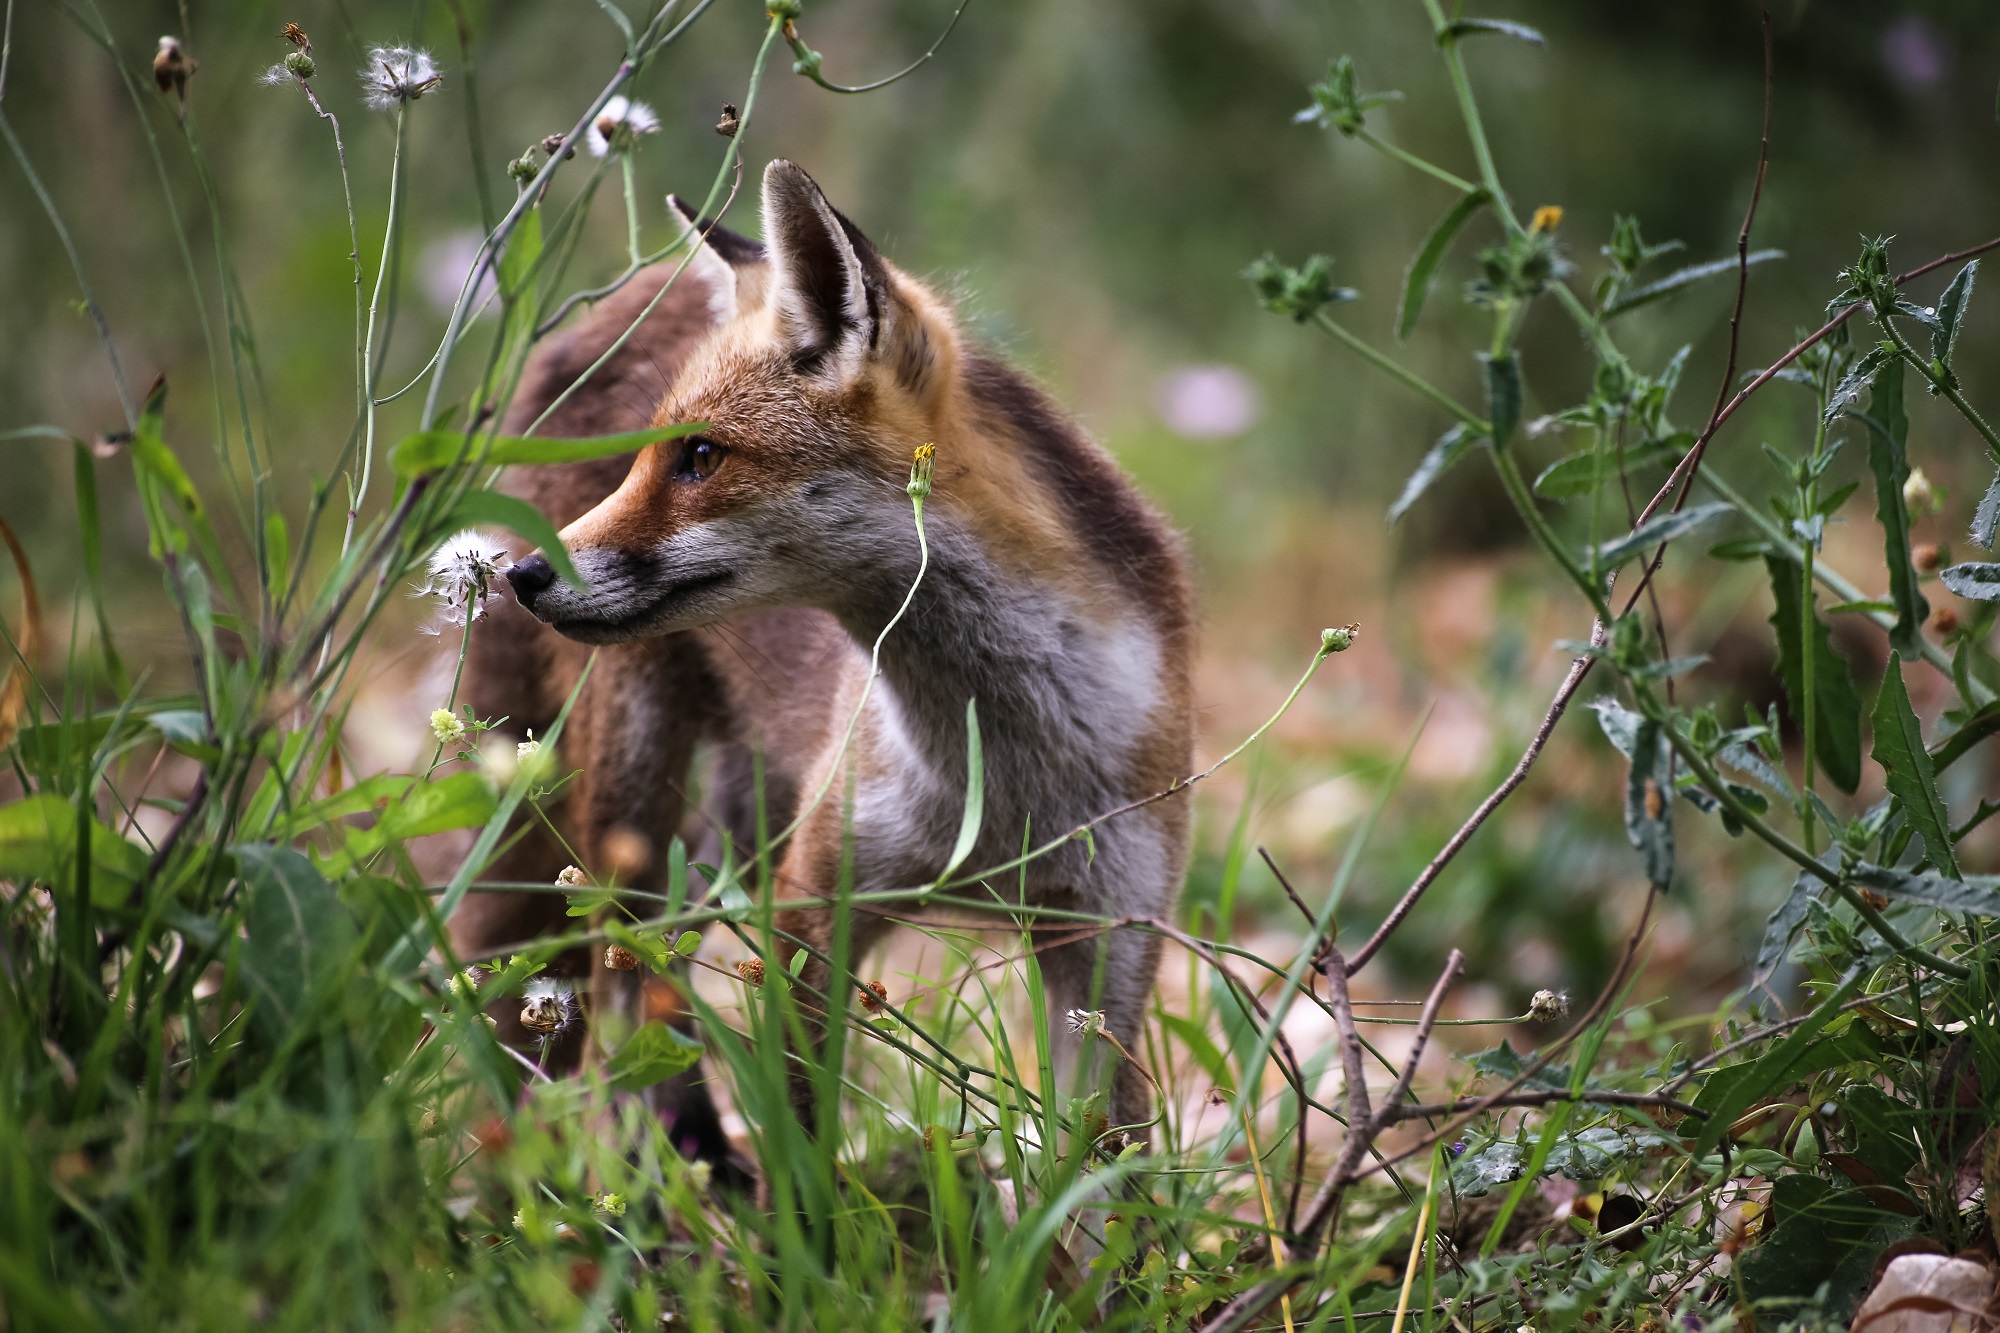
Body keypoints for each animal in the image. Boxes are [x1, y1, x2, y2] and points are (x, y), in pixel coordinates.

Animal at [449, 159, 1193, 1159]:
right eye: (641, 461)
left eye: (700, 456)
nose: (522, 574)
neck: (999, 779)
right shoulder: (814, 908)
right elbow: (798, 1152)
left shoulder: (1111, 944)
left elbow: (1096, 1174)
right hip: (635, 806)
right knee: (620, 999)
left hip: (735, 822)